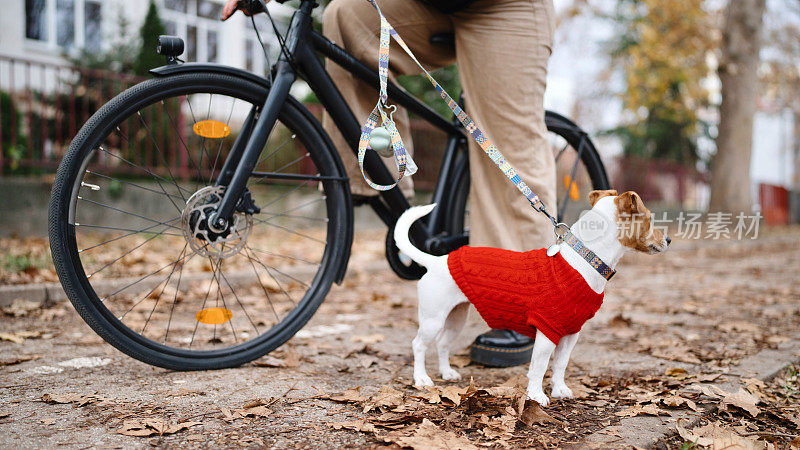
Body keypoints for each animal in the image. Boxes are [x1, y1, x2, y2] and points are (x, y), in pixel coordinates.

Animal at [394, 189, 668, 404]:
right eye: (649, 219)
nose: (668, 238)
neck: (583, 260)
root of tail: (436, 261)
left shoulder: (571, 334)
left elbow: (560, 365)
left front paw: (559, 390)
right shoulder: (547, 331)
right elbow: (539, 366)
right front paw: (536, 396)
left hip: (456, 318)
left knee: (442, 343)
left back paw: (447, 373)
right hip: (433, 319)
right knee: (418, 345)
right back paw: (422, 378)